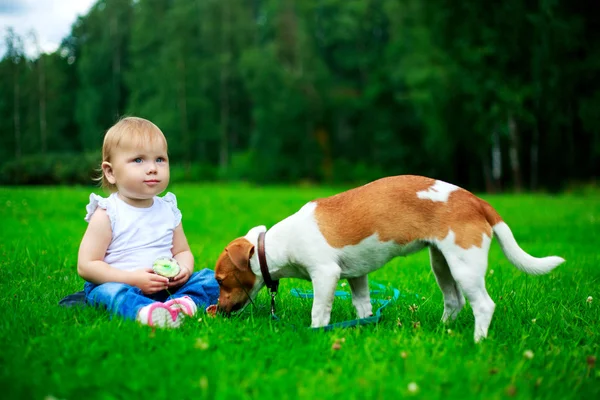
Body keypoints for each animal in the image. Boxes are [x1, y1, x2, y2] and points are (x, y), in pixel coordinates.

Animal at [213, 175, 564, 340]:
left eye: (219, 280)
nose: (215, 311)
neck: (272, 246)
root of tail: (477, 201)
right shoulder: (356, 276)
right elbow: (363, 306)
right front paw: (364, 325)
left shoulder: (325, 275)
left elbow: (318, 312)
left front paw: (317, 333)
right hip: (442, 264)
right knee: (455, 301)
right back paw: (441, 329)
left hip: (465, 264)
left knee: (483, 305)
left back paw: (477, 341)